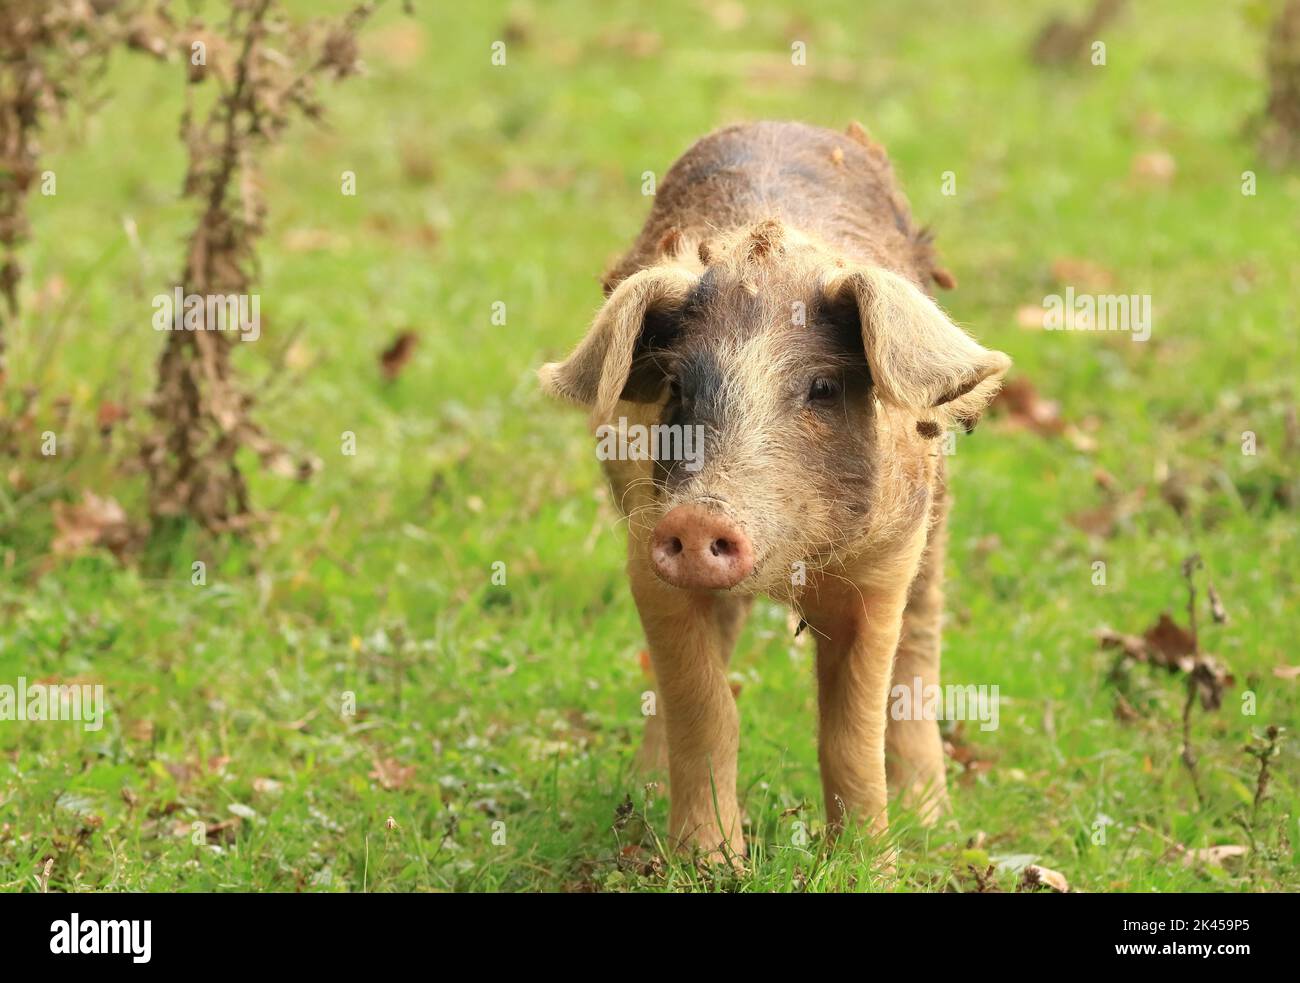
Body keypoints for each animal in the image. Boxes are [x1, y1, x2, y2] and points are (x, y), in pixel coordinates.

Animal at [538, 120, 1013, 858]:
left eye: (822, 386)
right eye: (677, 386)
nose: (701, 518)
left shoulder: (885, 565)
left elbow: (851, 731)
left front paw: (870, 864)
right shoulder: (648, 548)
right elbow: (704, 705)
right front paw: (709, 863)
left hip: (935, 522)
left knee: (921, 647)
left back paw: (935, 823)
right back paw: (639, 794)